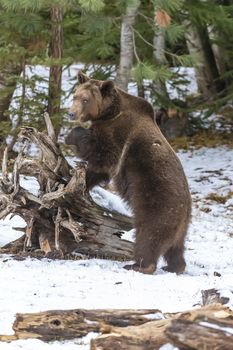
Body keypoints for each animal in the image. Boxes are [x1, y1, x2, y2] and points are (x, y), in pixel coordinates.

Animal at [65, 70, 191, 274]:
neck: (109, 113)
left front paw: (70, 136)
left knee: (148, 236)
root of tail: (185, 210)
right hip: (180, 226)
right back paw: (174, 267)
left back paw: (138, 265)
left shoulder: (117, 135)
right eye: (75, 96)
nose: (71, 113)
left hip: (158, 205)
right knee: (175, 248)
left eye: (85, 99)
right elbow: (98, 170)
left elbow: (100, 151)